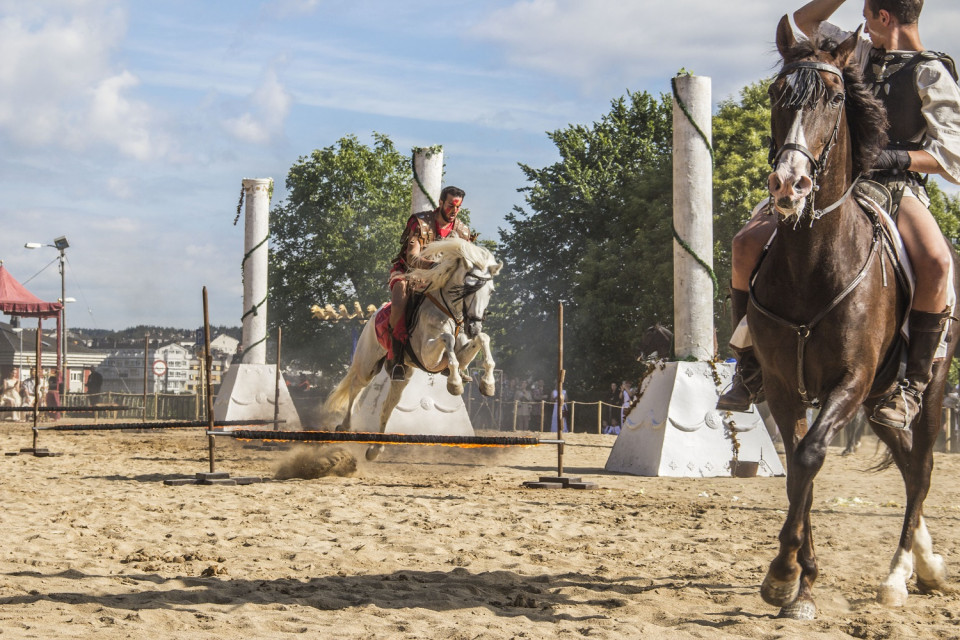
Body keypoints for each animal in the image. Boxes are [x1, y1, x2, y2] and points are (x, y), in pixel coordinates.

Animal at [320, 238, 502, 458]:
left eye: (490, 291)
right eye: (468, 287)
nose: (474, 326)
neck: (448, 313)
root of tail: (374, 315)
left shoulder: (460, 354)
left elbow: (483, 339)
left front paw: (487, 384)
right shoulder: (428, 357)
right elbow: (447, 338)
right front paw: (455, 383)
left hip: (402, 375)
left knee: (387, 406)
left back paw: (375, 448)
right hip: (367, 365)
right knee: (356, 387)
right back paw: (345, 427)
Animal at [752, 15, 956, 616]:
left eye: (837, 96)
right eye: (776, 93)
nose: (789, 184)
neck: (811, 263)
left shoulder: (850, 380)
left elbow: (810, 457)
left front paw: (784, 574)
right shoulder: (783, 385)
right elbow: (797, 471)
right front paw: (800, 578)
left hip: (923, 391)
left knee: (922, 470)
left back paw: (899, 573)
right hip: (876, 402)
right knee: (909, 465)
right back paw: (925, 564)